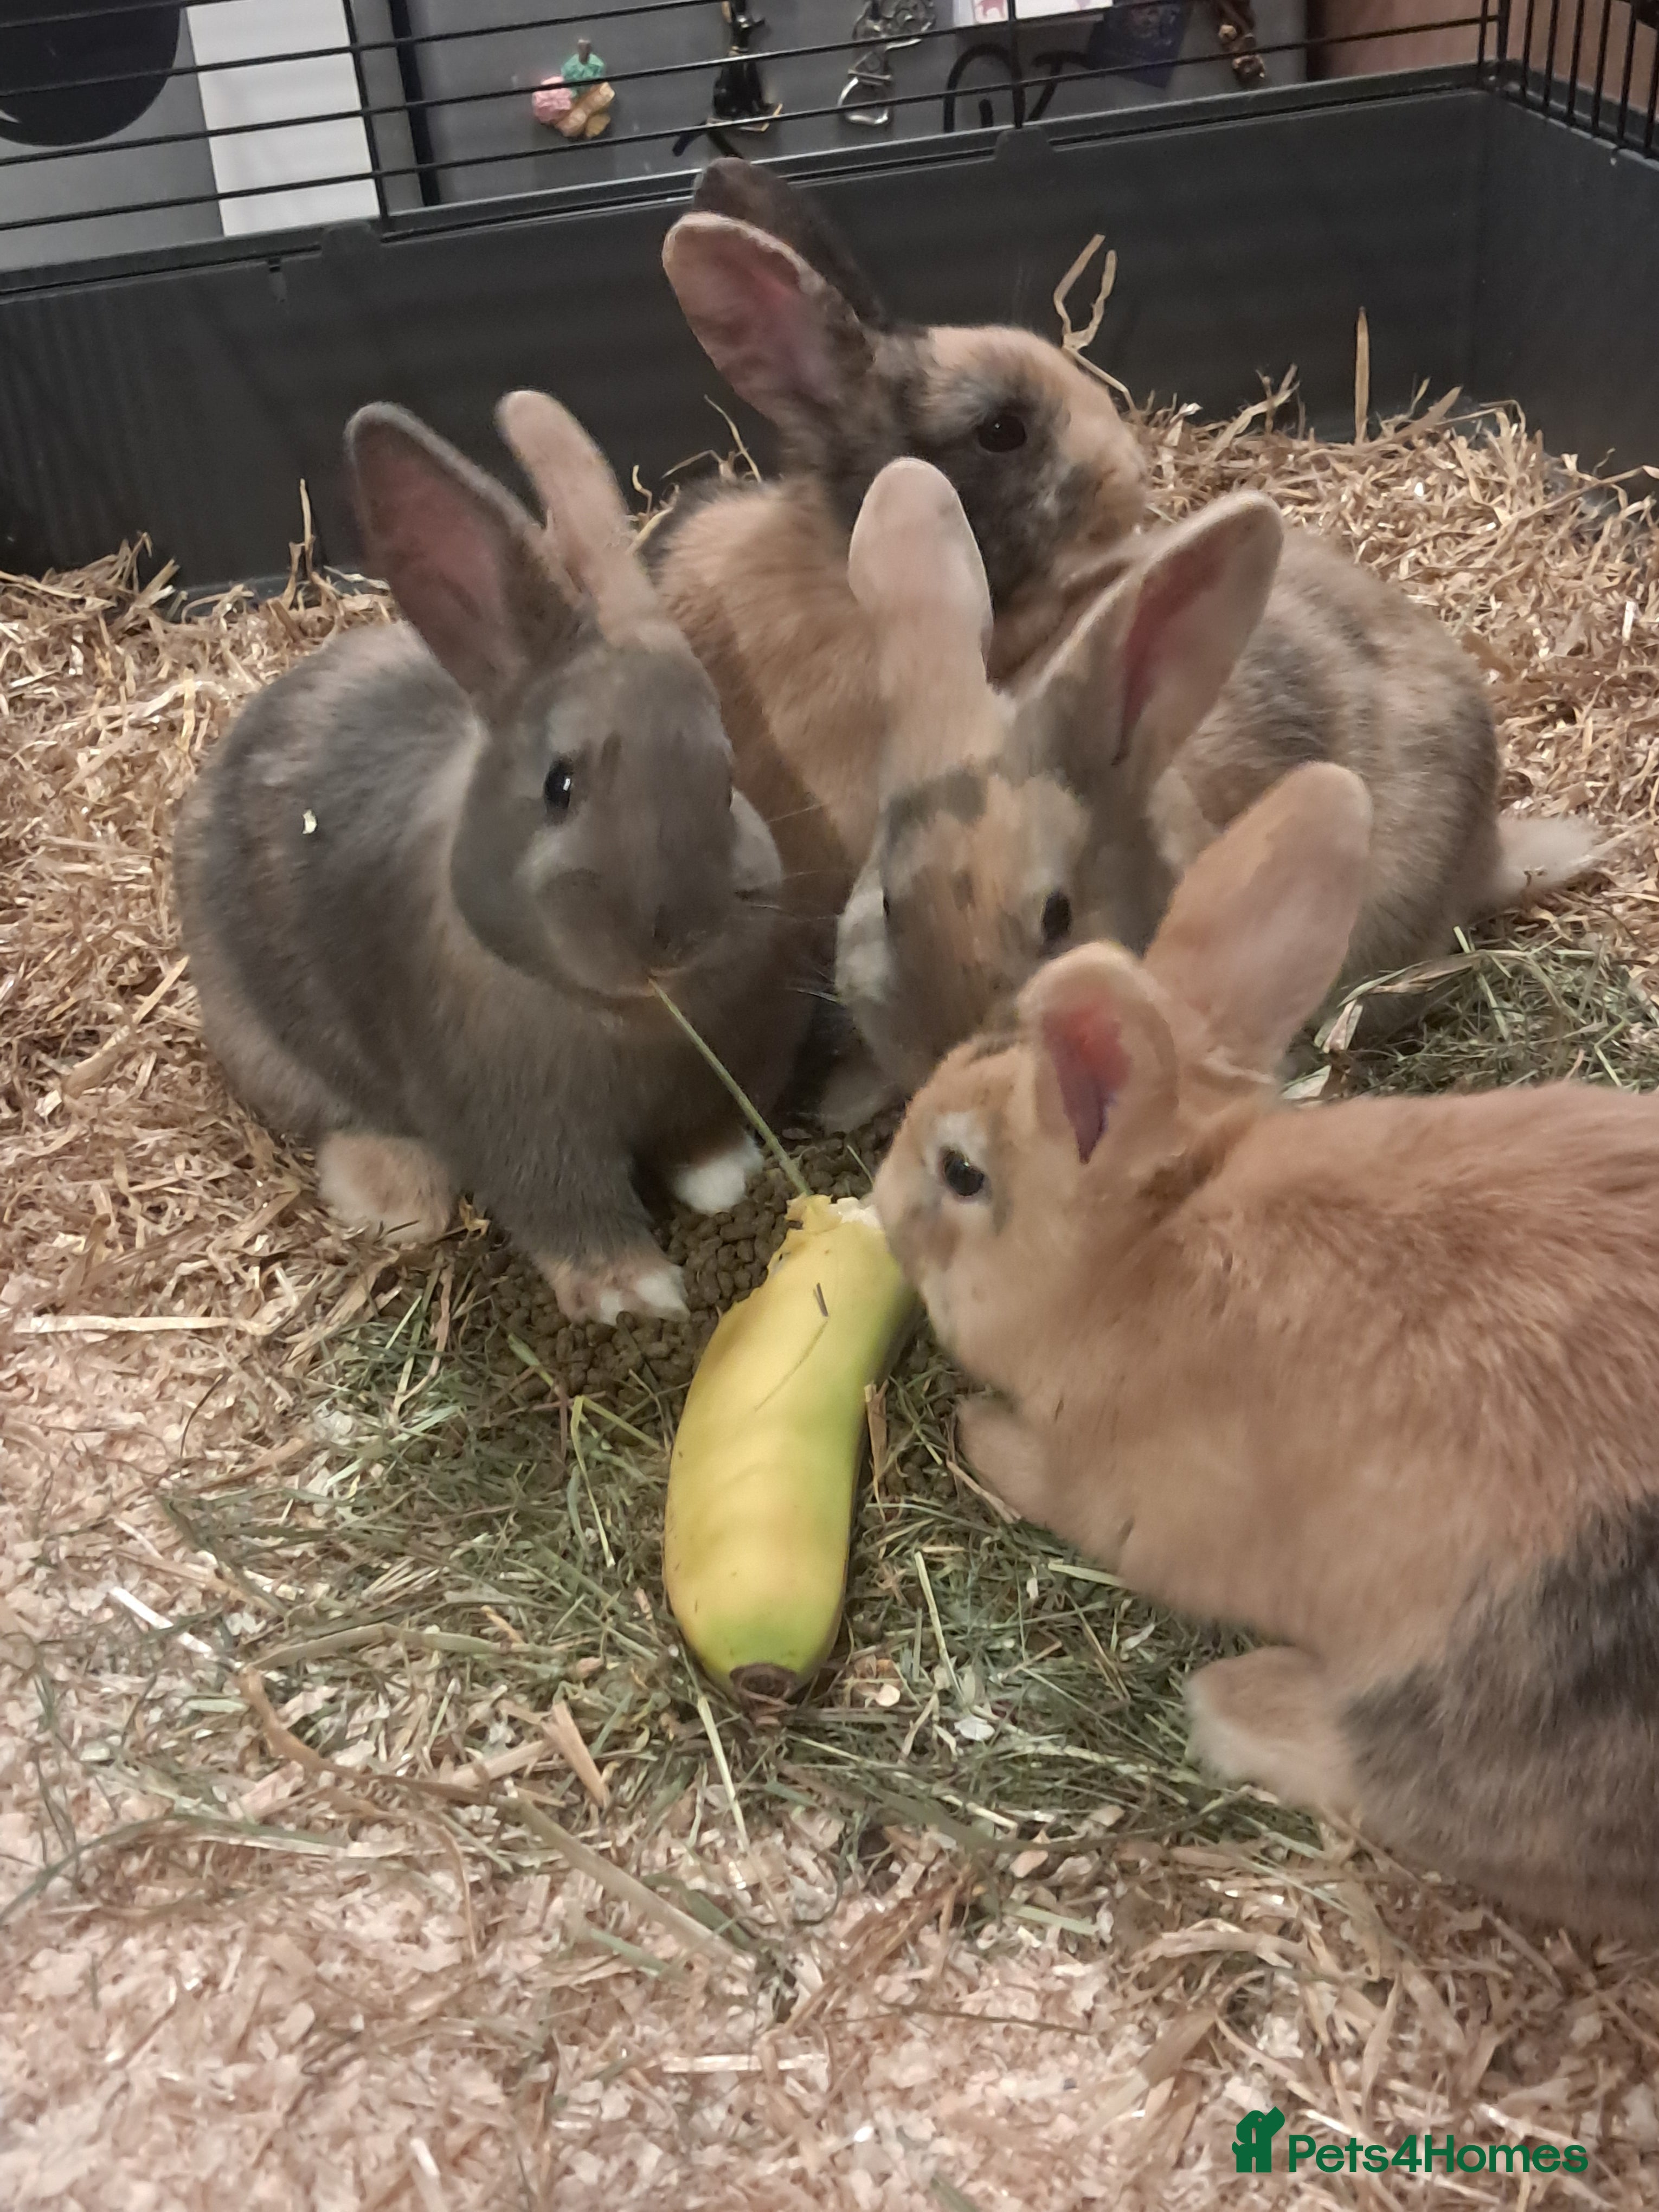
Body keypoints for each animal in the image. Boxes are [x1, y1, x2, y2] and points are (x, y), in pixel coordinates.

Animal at [174, 391, 801, 1324]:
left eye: (725, 778)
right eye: (560, 787)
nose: (673, 939)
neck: (632, 1015)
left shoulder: (710, 1078)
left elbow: (706, 1141)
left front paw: (725, 1183)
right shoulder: (523, 1133)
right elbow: (569, 1211)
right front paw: (635, 1295)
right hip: (266, 1046)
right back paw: (397, 1200)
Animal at [872, 760, 1659, 1937]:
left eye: (964, 1174)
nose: (877, 1206)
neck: (1142, 1253)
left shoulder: (1115, 1496)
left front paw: (974, 1426)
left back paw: (1232, 1706)